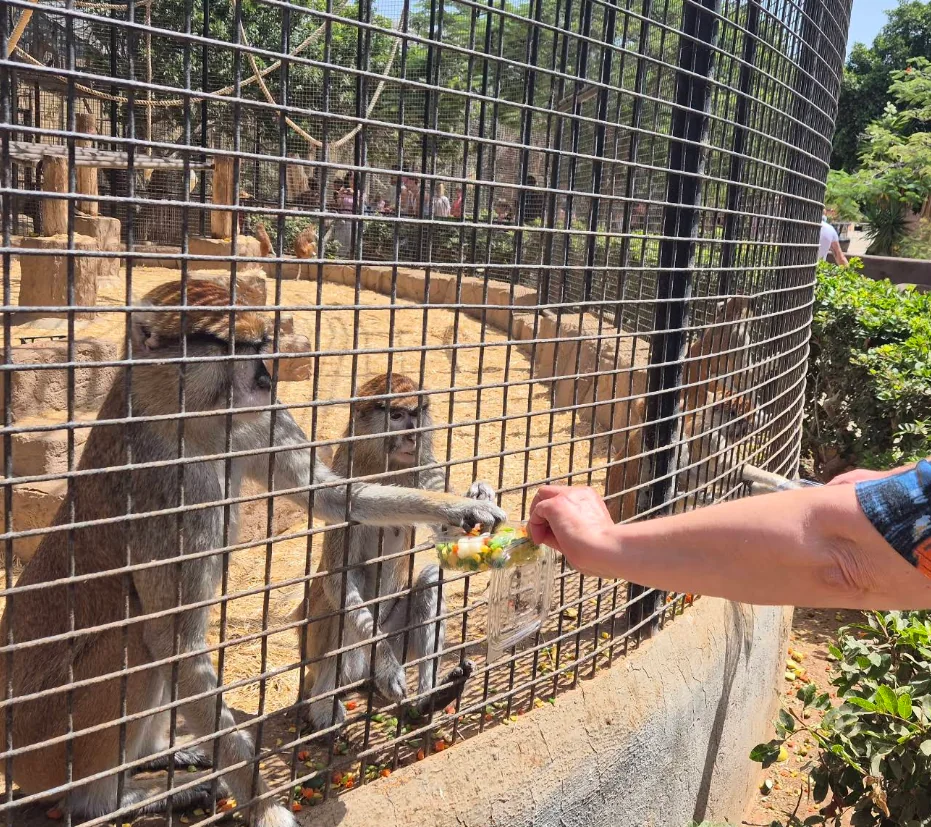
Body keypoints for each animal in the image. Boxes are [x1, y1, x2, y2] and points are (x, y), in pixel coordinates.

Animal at [292, 374, 493, 732]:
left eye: (416, 413)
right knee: (341, 599)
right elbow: (339, 580)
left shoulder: (423, 465)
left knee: (430, 579)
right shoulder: (348, 478)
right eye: (396, 416)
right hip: (322, 650)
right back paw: (325, 707)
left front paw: (480, 496)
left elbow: (449, 540)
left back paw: (431, 698)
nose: (411, 434)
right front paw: (388, 669)